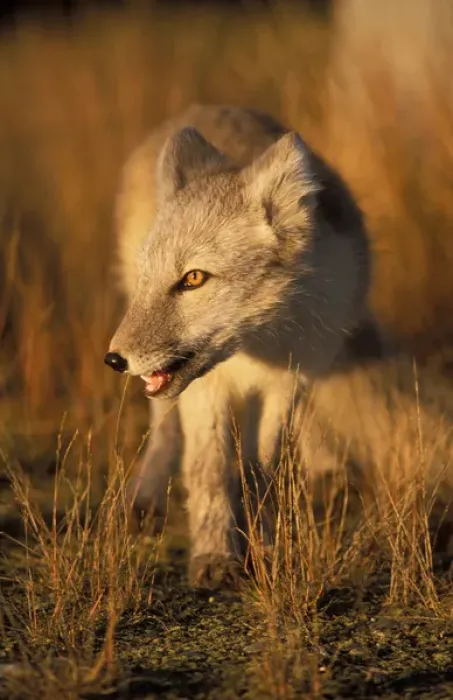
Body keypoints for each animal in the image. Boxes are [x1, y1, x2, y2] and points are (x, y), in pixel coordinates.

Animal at [105, 104, 385, 588]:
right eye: (148, 277)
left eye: (193, 278)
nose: (113, 359)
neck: (254, 346)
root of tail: (205, 107)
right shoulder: (204, 390)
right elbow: (210, 470)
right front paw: (215, 555)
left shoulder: (288, 378)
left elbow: (261, 470)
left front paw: (265, 547)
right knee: (165, 428)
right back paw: (145, 497)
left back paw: (324, 468)